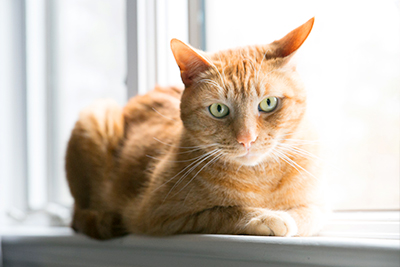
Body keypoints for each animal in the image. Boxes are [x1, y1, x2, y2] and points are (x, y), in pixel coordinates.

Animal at [65, 18, 326, 241]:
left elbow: (309, 214)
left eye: (269, 103)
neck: (258, 179)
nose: (247, 139)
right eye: (219, 109)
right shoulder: (156, 215)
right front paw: (265, 216)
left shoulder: (318, 205)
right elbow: (223, 211)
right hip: (97, 114)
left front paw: (287, 216)